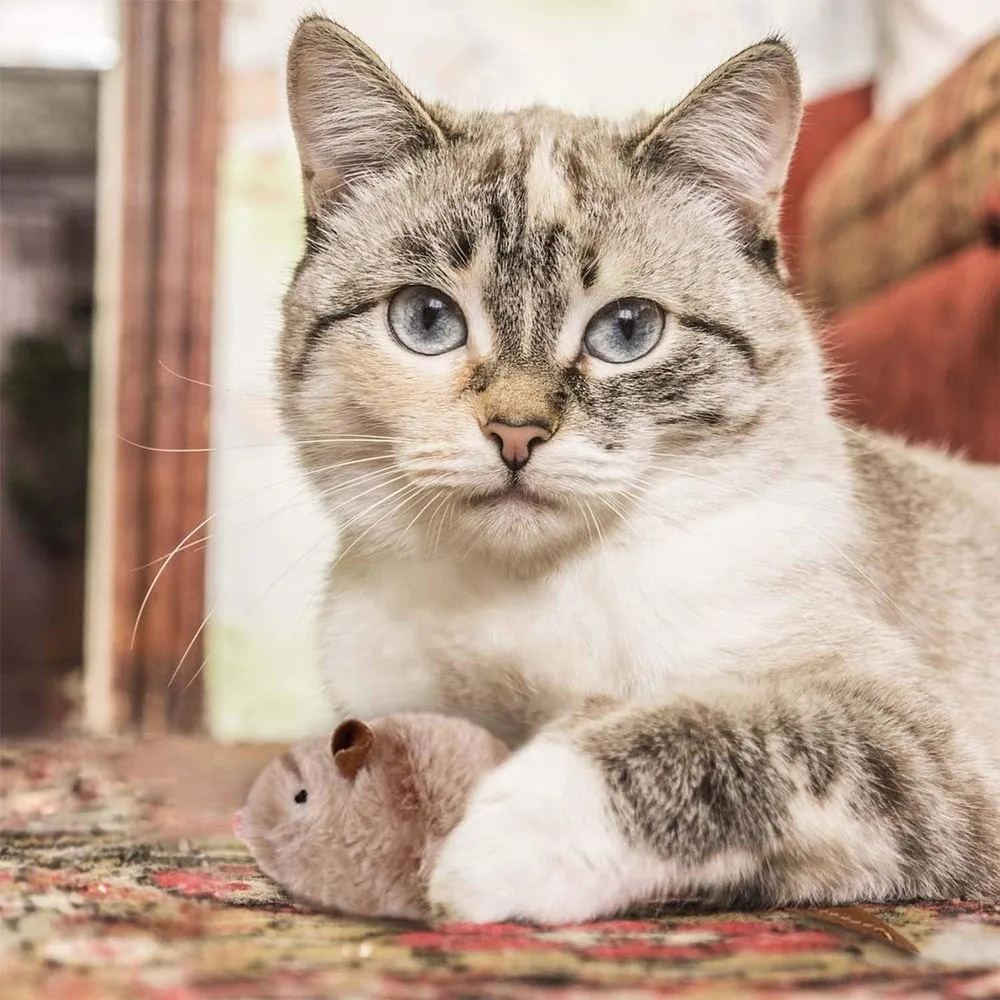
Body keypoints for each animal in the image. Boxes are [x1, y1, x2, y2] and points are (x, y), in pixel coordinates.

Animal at [278, 13, 1000, 920]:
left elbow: (698, 737)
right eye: (428, 320)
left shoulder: (903, 730)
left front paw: (485, 854)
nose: (516, 434)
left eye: (626, 331)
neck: (526, 599)